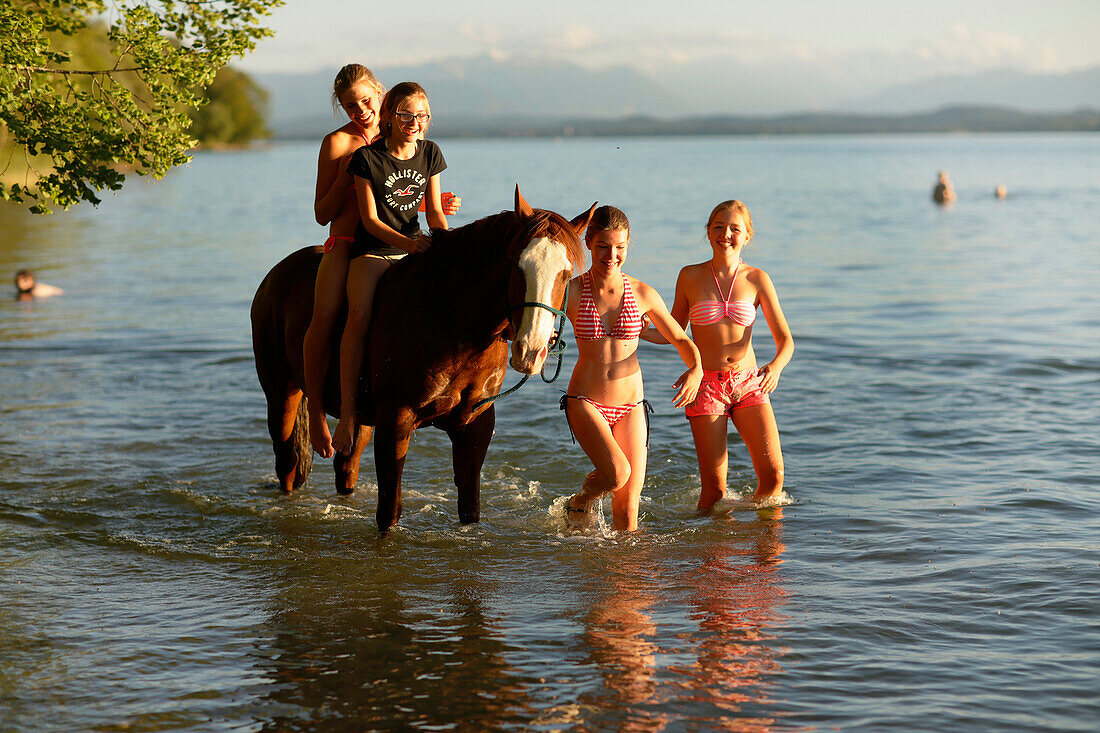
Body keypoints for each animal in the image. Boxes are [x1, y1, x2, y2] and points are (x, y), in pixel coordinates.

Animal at [251, 188, 594, 528]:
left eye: (566, 274)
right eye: (516, 265)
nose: (531, 351)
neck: (448, 317)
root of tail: (274, 276)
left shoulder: (475, 426)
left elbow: (470, 509)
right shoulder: (396, 421)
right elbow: (389, 511)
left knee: (346, 464)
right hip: (282, 396)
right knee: (287, 463)